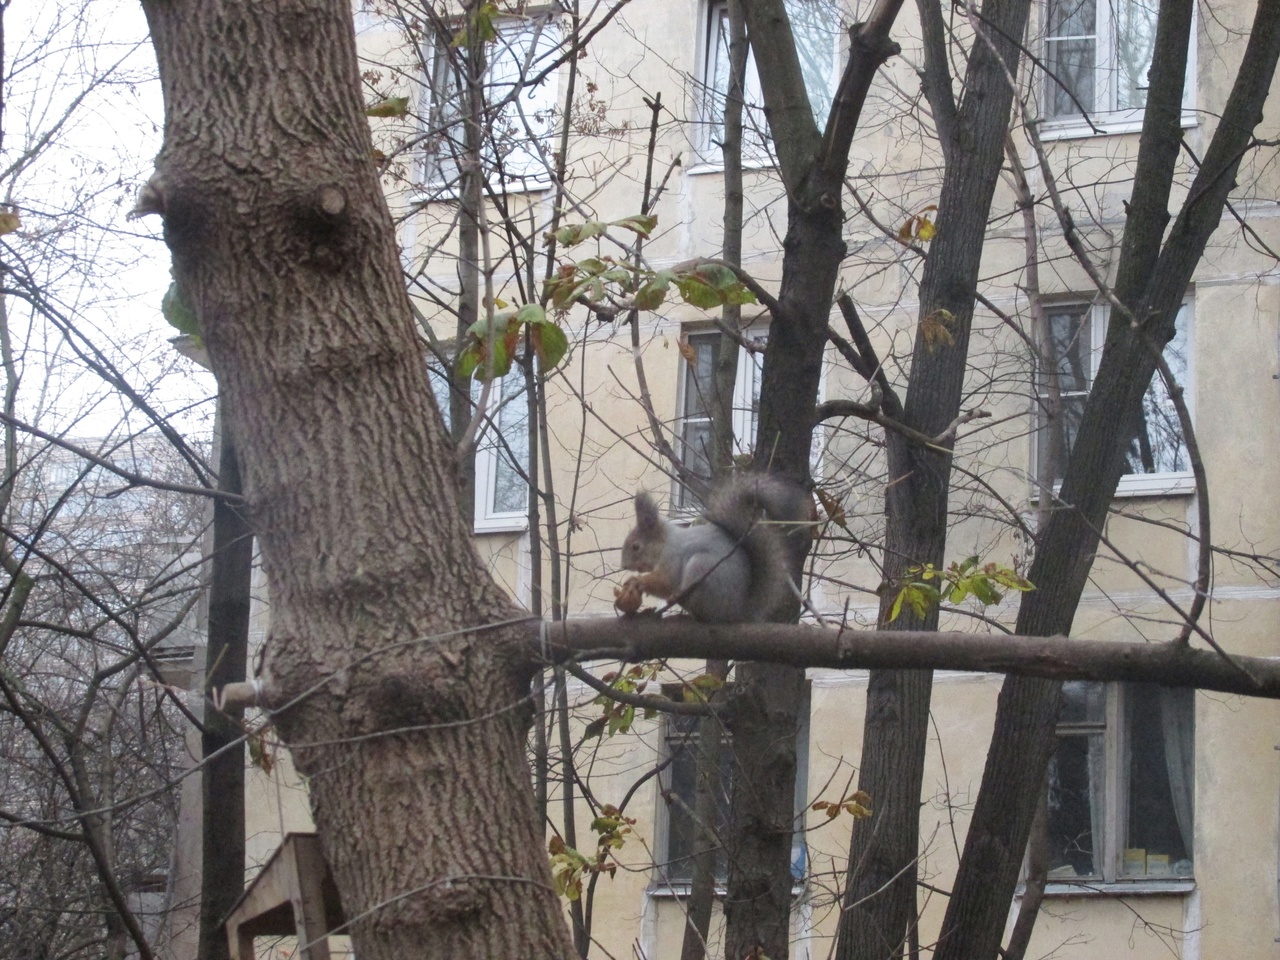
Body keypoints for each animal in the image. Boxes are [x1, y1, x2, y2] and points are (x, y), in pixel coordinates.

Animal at [614, 473, 814, 624]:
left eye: (636, 547)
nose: (624, 566)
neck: (665, 544)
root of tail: (735, 613)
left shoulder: (673, 558)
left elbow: (665, 582)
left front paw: (637, 581)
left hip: (702, 568)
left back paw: (680, 606)